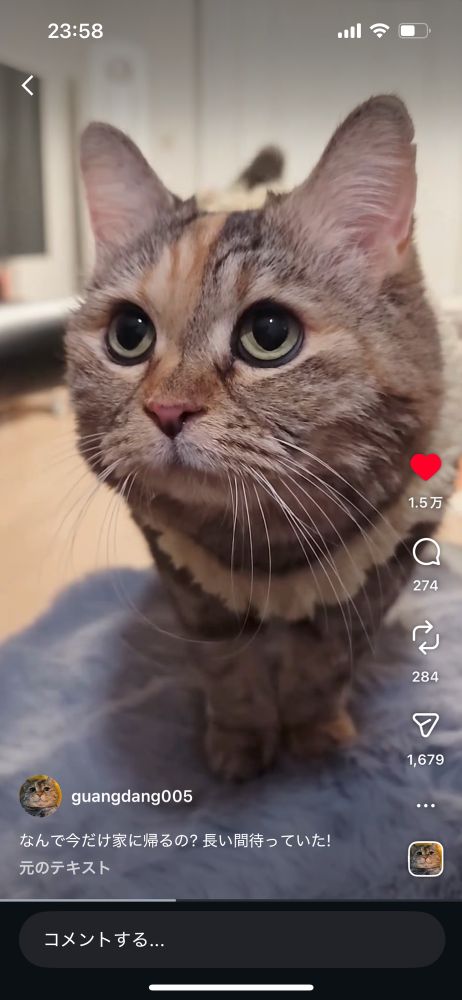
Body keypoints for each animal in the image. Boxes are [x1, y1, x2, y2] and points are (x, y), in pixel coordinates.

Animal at [66, 95, 461, 781]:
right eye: (128, 334)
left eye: (270, 333)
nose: (167, 410)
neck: (267, 543)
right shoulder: (190, 583)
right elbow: (229, 671)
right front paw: (241, 742)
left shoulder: (375, 573)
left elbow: (323, 666)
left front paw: (313, 736)